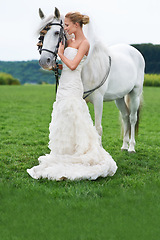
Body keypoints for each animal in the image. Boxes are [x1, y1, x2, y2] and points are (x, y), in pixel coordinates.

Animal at [37, 8, 145, 154]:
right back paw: (124, 145)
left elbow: (97, 128)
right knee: (125, 117)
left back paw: (132, 147)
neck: (86, 67)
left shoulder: (98, 100)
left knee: (133, 118)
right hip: (119, 97)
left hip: (135, 94)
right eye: (41, 34)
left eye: (56, 32)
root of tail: (135, 51)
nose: (45, 61)